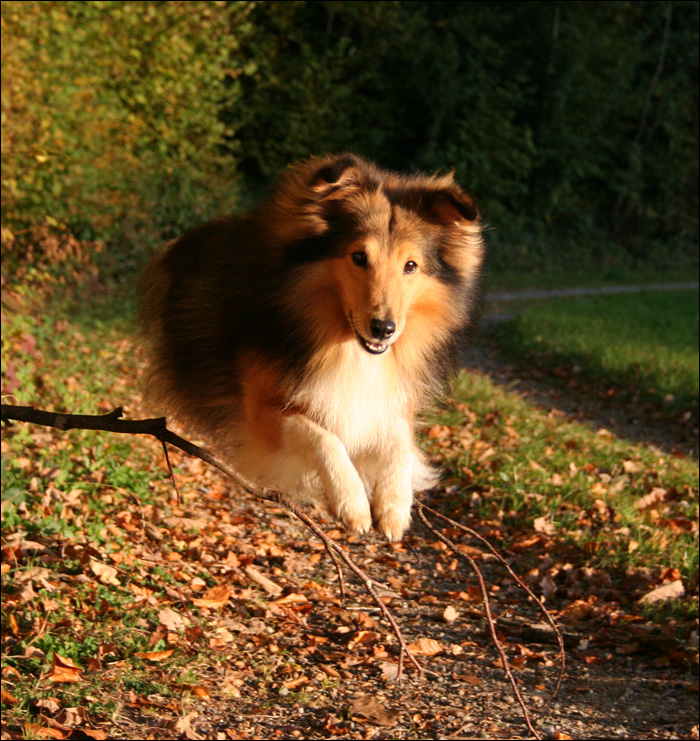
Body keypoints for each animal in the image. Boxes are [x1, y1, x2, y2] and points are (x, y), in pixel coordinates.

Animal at [139, 153, 484, 540]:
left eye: (410, 265)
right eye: (359, 257)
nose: (384, 329)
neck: (345, 347)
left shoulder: (391, 399)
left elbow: (399, 442)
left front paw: (394, 506)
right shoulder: (260, 409)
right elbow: (324, 437)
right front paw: (353, 504)